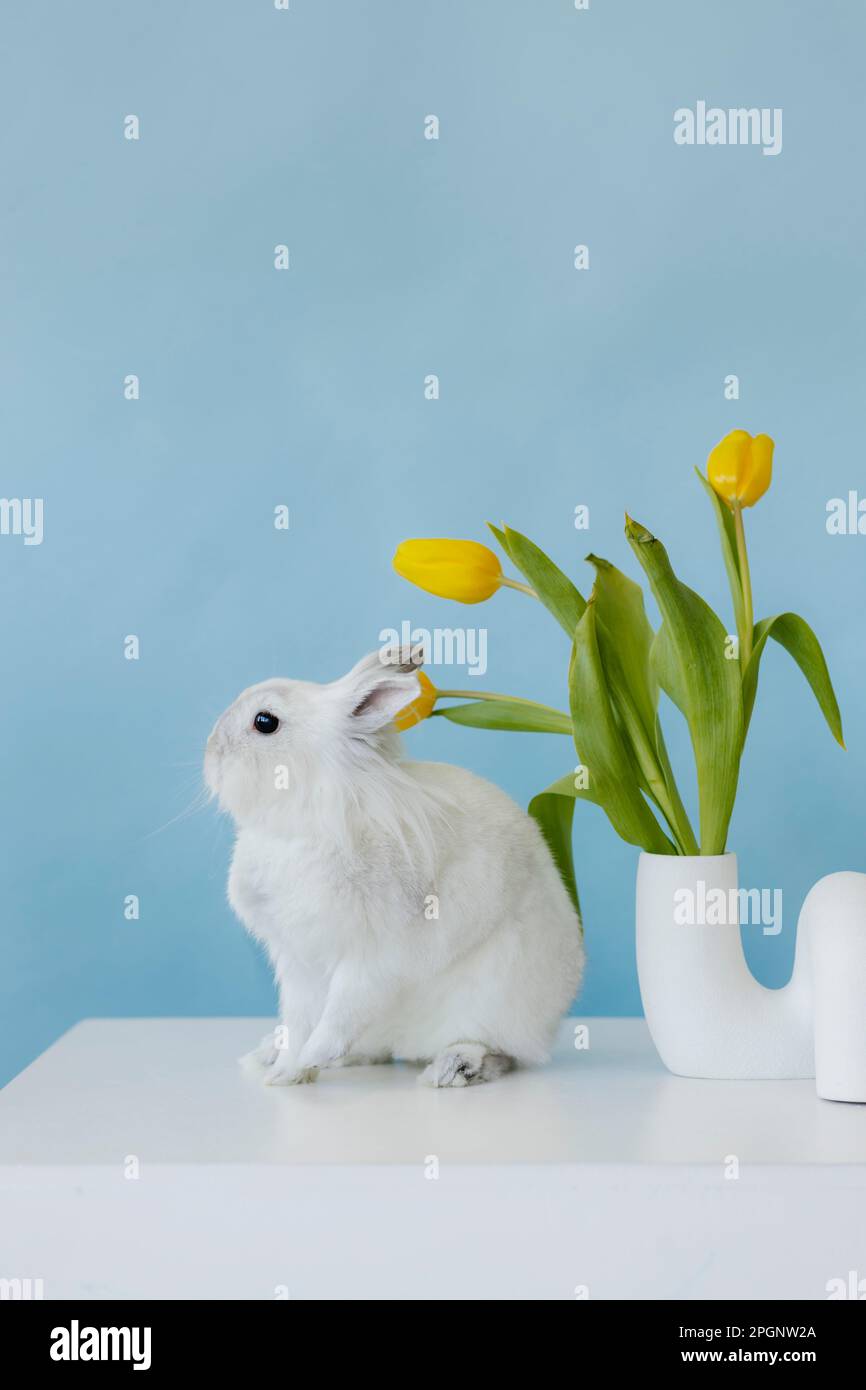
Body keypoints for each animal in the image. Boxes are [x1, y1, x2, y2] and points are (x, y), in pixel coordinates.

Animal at [204, 644, 586, 1089]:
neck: (301, 824)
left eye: (265, 722)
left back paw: (453, 1068)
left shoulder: (374, 958)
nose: (210, 753)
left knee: (501, 1051)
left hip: (496, 1002)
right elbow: (297, 1023)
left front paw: (310, 1057)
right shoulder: (298, 963)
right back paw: (268, 1054)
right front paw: (285, 1072)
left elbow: (341, 1013)